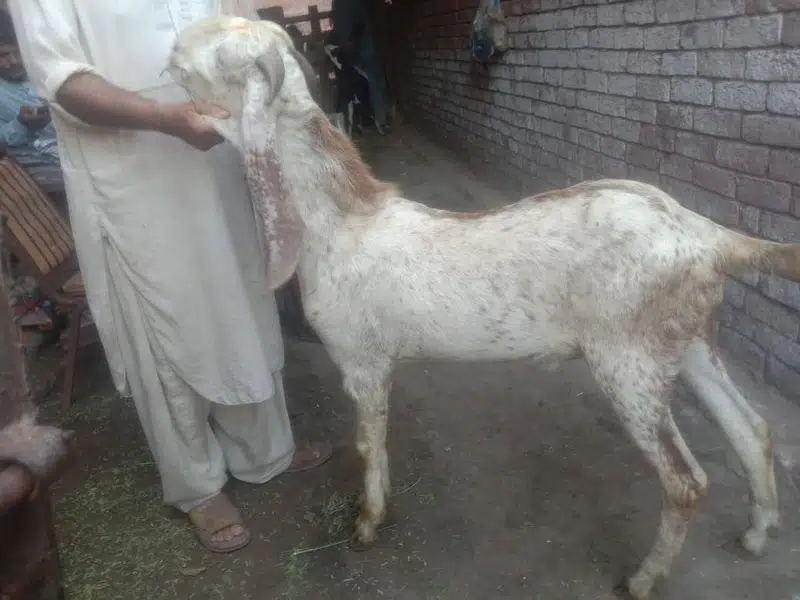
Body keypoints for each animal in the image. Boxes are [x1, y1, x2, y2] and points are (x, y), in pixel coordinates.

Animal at [168, 17, 792, 599]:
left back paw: (644, 578)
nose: (171, 46)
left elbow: (368, 444)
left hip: (628, 359)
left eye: (210, 51)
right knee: (753, 428)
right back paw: (757, 533)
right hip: (687, 339)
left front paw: (367, 523)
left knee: (687, 481)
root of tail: (704, 235)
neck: (342, 225)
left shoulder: (361, 361)